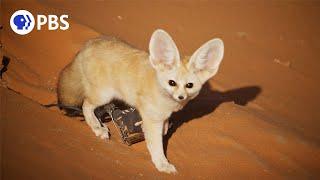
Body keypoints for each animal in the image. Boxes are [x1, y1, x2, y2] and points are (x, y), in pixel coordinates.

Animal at [57, 29, 224, 173]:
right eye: (172, 83)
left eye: (189, 85)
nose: (181, 97)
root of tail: (89, 43)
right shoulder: (153, 120)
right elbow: (156, 145)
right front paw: (162, 164)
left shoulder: (162, 116)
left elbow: (163, 129)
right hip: (103, 95)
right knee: (86, 105)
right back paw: (97, 127)